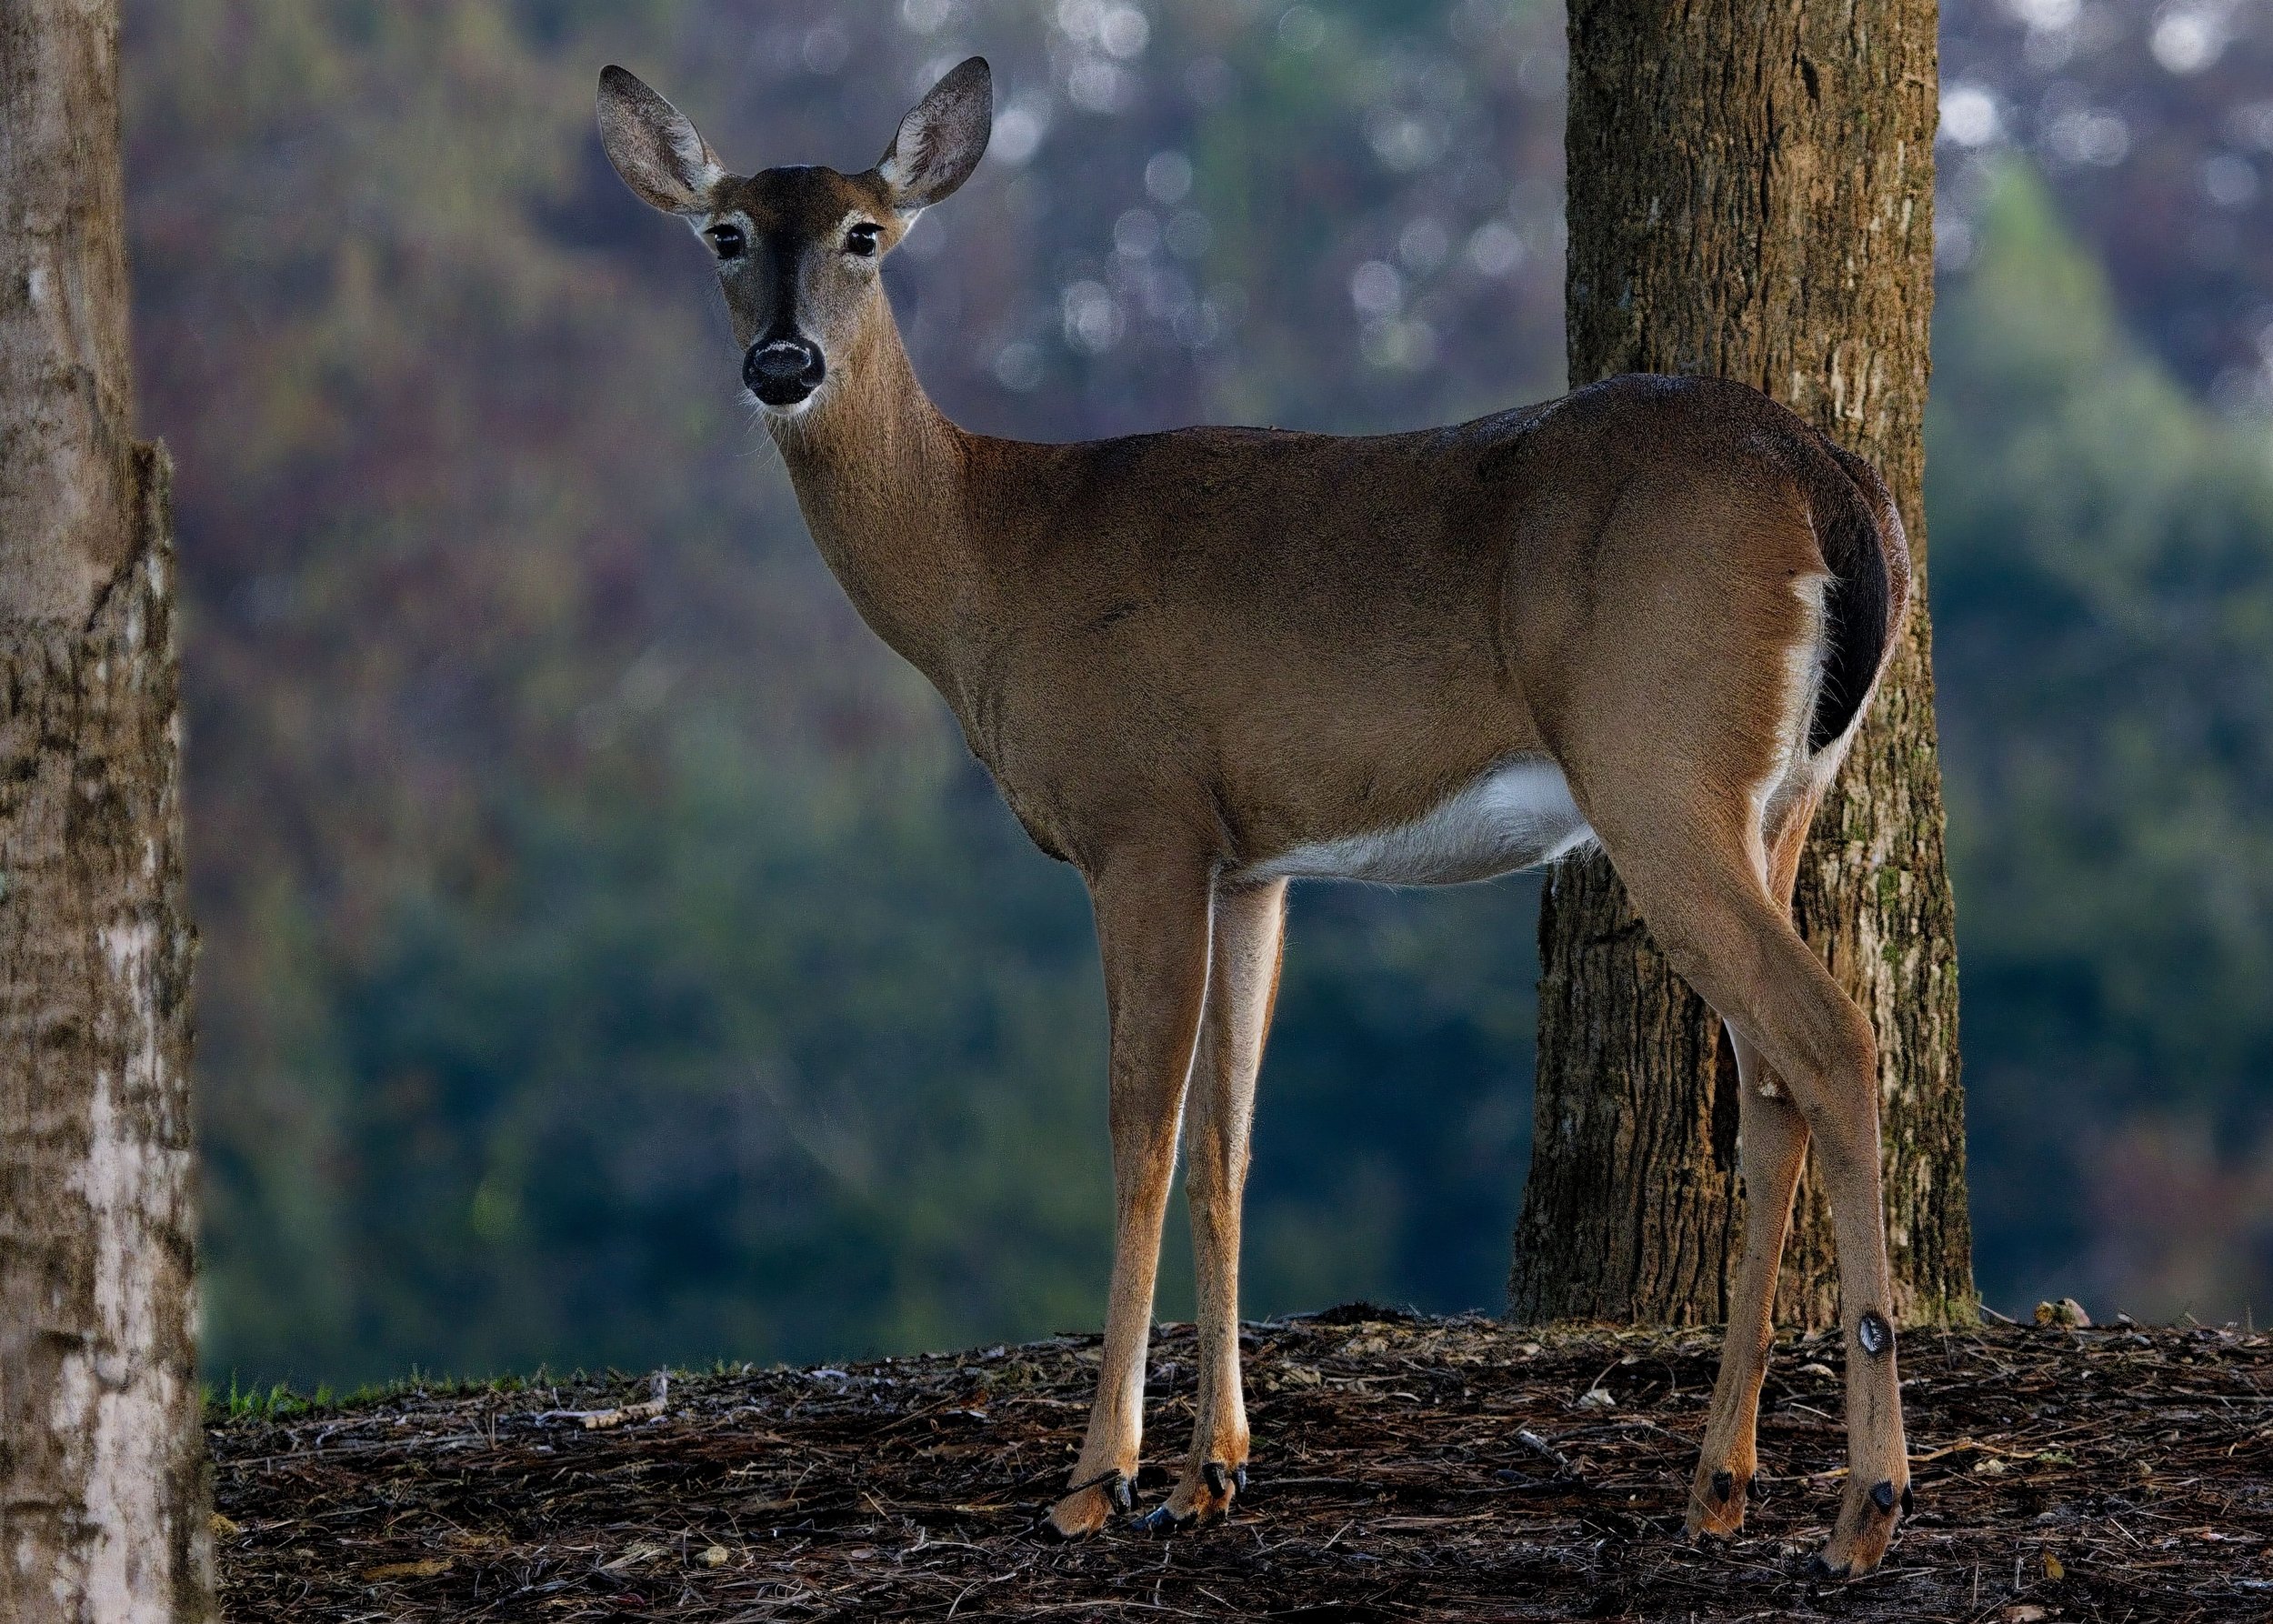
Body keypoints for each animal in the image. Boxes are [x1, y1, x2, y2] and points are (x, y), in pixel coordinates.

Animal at [597, 55, 1917, 1578]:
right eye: (726, 233)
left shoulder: (1141, 820)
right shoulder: (1254, 860)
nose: (783, 363)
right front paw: (1212, 1469)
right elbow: (1229, 1136)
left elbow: (1141, 1132)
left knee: (1833, 1034)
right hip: (1784, 793)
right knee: (1769, 1081)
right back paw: (1719, 1480)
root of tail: (1831, 483)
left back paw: (1869, 1500)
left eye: (867, 233)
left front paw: (1097, 1474)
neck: (990, 560)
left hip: (1658, 765)